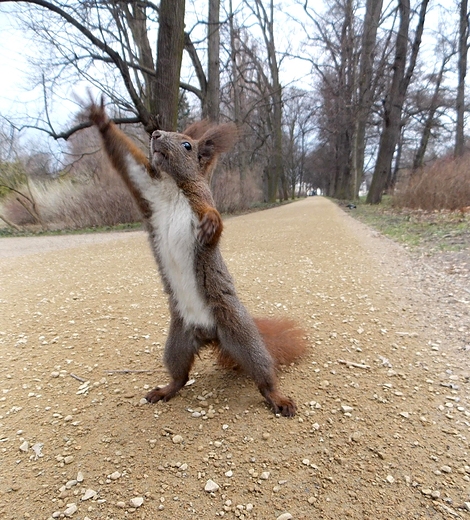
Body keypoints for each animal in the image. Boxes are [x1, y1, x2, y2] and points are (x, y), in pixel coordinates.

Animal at [88, 96, 306, 414]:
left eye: (187, 145)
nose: (155, 134)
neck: (172, 187)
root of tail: (209, 335)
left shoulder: (202, 201)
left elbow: (214, 225)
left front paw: (211, 224)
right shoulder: (147, 188)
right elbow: (126, 161)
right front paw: (99, 118)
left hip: (239, 333)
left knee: (262, 372)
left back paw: (277, 397)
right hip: (177, 342)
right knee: (180, 374)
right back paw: (165, 390)